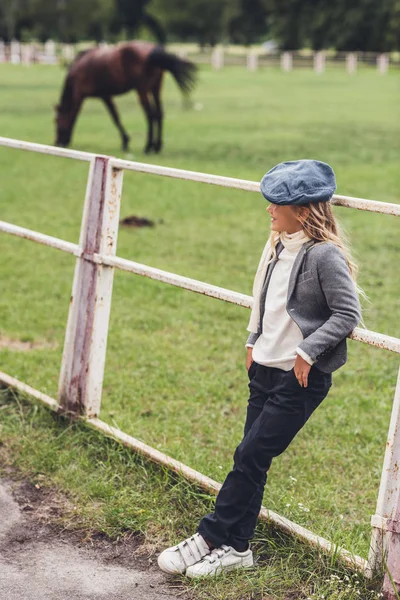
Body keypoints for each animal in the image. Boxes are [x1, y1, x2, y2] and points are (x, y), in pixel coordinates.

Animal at [54, 41, 198, 154]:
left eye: (56, 121)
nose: (57, 142)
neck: (78, 68)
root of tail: (152, 50)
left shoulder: (86, 95)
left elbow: (77, 115)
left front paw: (125, 142)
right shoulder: (104, 96)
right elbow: (115, 116)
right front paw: (125, 141)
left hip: (142, 90)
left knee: (150, 115)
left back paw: (148, 147)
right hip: (155, 89)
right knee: (159, 113)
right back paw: (157, 146)